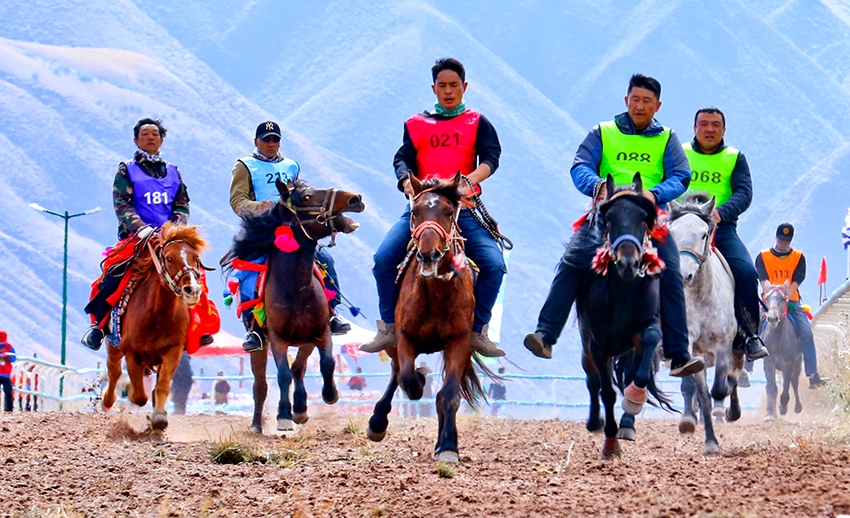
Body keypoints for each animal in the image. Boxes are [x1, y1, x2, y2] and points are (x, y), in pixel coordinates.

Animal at [102, 223, 209, 442]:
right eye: (169, 258)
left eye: (195, 258)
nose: (192, 290)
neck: (156, 314)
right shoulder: (132, 353)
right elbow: (138, 396)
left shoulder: (173, 350)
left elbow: (162, 386)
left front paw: (159, 421)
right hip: (114, 347)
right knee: (114, 371)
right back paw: (108, 399)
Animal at [224, 179, 362, 434]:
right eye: (306, 197)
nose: (354, 198)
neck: (295, 288)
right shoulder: (277, 338)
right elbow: (283, 375)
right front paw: (284, 416)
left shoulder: (321, 332)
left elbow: (326, 363)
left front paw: (329, 395)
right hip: (260, 346)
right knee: (260, 384)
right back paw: (257, 425)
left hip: (305, 340)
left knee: (299, 367)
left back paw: (300, 408)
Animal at [364, 174, 490, 464]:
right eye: (415, 212)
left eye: (448, 212)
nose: (428, 255)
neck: (435, 291)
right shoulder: (404, 337)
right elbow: (408, 379)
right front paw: (420, 379)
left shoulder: (459, 342)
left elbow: (449, 395)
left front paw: (448, 446)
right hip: (393, 344)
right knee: (396, 373)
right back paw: (377, 422)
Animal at [664, 195, 740, 456]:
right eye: (672, 232)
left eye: (704, 234)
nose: (683, 275)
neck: (701, 297)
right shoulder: (691, 348)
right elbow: (703, 395)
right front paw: (710, 442)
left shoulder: (724, 344)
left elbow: (719, 389)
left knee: (734, 376)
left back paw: (732, 411)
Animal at [760, 284, 800, 422]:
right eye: (766, 298)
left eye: (783, 299)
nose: (772, 318)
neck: (777, 340)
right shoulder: (769, 363)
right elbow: (772, 388)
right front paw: (769, 414)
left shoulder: (789, 364)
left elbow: (787, 386)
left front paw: (783, 406)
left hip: (798, 364)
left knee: (795, 382)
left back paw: (797, 407)